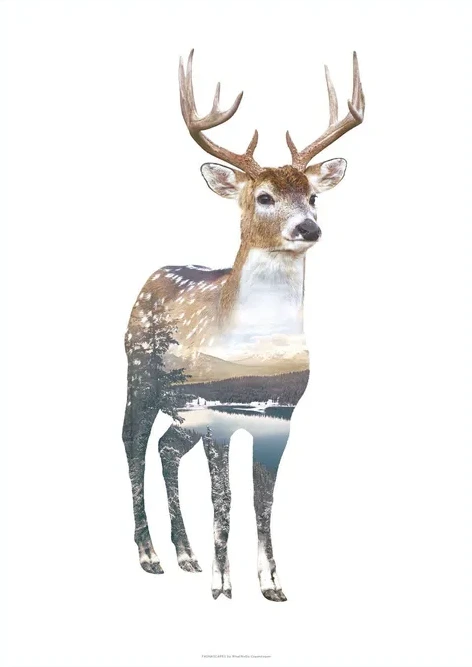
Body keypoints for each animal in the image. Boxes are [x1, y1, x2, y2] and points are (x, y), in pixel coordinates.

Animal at [122, 49, 365, 602]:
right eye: (265, 197)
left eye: (314, 196)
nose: (309, 228)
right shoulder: (218, 411)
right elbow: (224, 497)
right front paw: (223, 585)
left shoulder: (279, 415)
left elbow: (264, 499)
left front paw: (271, 583)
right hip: (138, 377)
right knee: (132, 444)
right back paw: (150, 557)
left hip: (183, 413)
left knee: (166, 449)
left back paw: (185, 556)